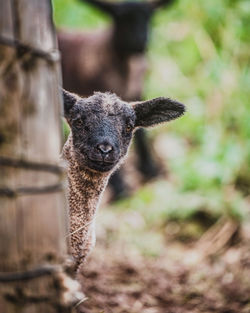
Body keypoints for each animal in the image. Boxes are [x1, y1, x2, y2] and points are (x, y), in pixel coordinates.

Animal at [58, 0, 175, 199]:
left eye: (150, 17)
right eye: (119, 18)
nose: (140, 41)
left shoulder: (137, 92)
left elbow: (142, 134)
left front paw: (150, 170)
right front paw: (121, 189)